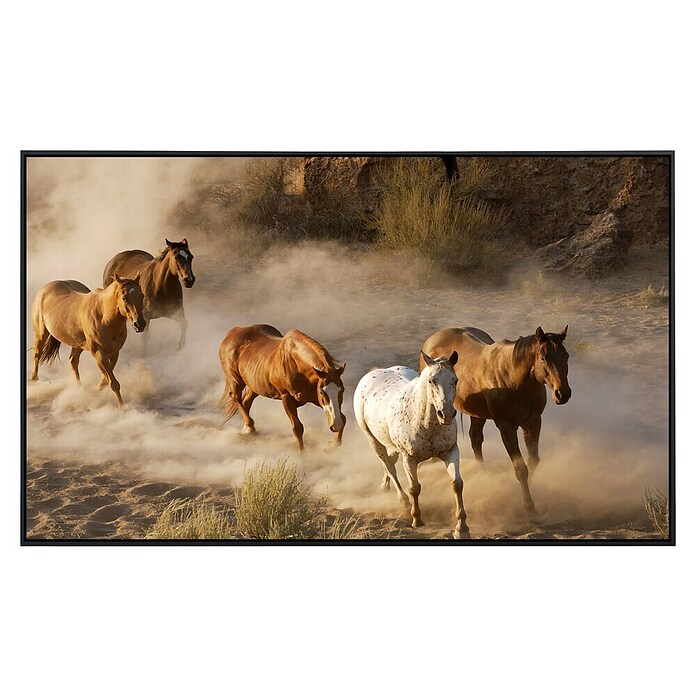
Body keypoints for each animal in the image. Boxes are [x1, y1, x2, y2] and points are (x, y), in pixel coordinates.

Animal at [30, 274, 146, 406]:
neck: (104, 317)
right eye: (124, 297)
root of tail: (44, 289)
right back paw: (34, 381)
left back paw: (79, 389)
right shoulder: (98, 352)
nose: (140, 324)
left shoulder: (114, 352)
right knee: (37, 354)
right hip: (41, 334)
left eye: (142, 295)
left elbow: (106, 380)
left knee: (73, 361)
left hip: (77, 344)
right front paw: (122, 407)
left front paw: (96, 390)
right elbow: (113, 382)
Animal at [353, 351, 468, 539]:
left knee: (390, 463)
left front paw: (461, 527)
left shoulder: (450, 452)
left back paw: (384, 486)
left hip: (391, 445)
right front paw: (417, 519)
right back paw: (404, 502)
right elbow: (414, 488)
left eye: (455, 380)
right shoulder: (409, 458)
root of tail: (373, 373)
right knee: (389, 466)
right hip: (373, 440)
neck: (426, 423)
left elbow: (457, 484)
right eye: (431, 380)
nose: (446, 414)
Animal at [421, 325, 571, 516]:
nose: (563, 393)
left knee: (475, 438)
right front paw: (528, 505)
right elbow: (520, 468)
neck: (514, 378)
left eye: (566, 356)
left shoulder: (533, 423)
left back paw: (482, 472)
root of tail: (433, 339)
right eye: (543, 358)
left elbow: (533, 461)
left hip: (477, 414)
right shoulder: (506, 427)